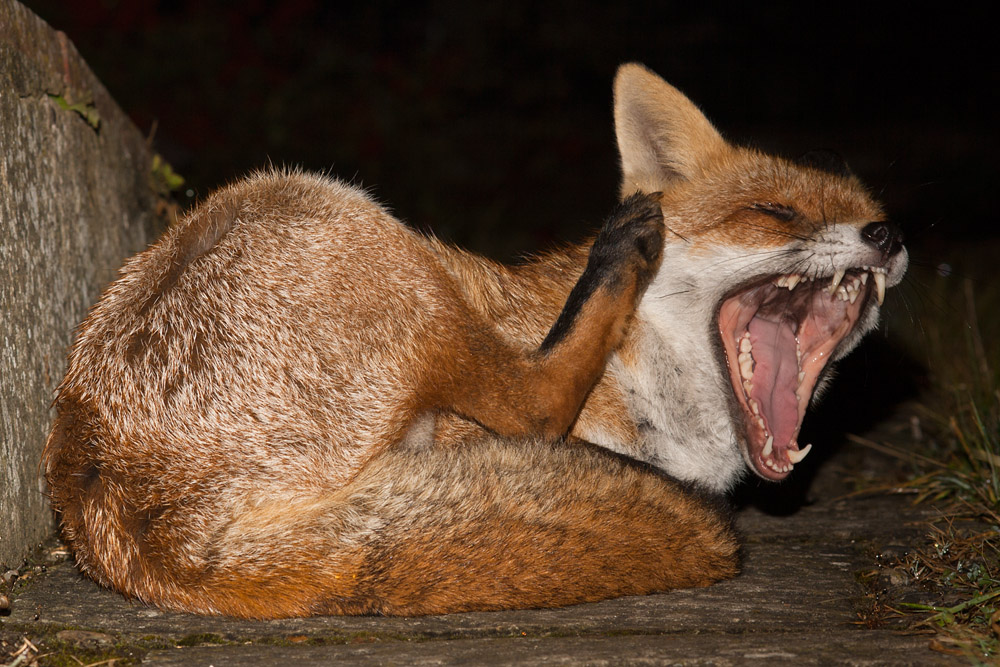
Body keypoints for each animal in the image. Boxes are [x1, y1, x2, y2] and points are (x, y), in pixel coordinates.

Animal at [42, 63, 907, 619]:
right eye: (774, 212)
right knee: (531, 405)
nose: (888, 235)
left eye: (869, 210)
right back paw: (618, 255)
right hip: (353, 224)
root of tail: (143, 523)